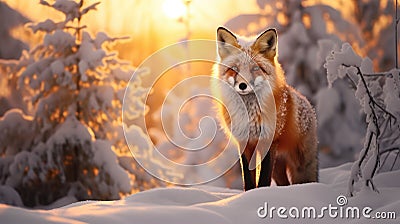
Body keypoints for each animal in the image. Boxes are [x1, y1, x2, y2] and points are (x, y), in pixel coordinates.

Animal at [211, 26, 318, 191]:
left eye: (255, 68)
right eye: (234, 69)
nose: (242, 85)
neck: (251, 115)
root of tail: (308, 105)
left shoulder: (269, 141)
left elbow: (263, 179)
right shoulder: (245, 142)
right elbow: (248, 178)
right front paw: (249, 194)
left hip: (301, 167)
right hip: (279, 168)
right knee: (284, 183)